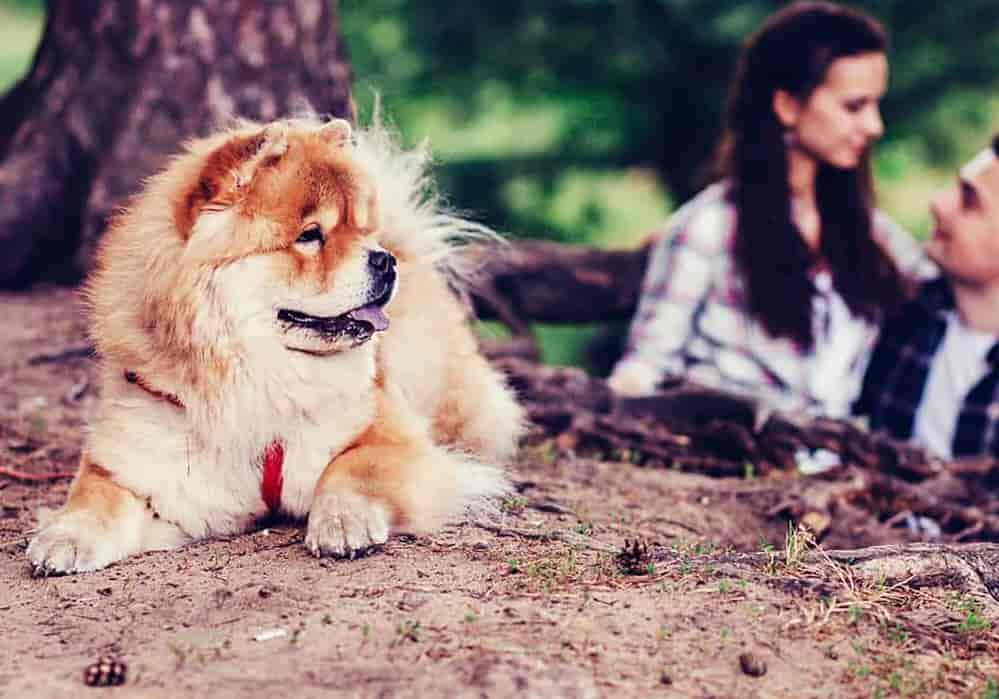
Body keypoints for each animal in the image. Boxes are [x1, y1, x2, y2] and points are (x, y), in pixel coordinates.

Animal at [25, 116, 524, 576]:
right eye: (309, 235)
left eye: (362, 230)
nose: (383, 259)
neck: (254, 376)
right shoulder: (141, 461)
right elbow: (95, 497)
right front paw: (65, 536)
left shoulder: (391, 437)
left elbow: (350, 469)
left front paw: (343, 522)